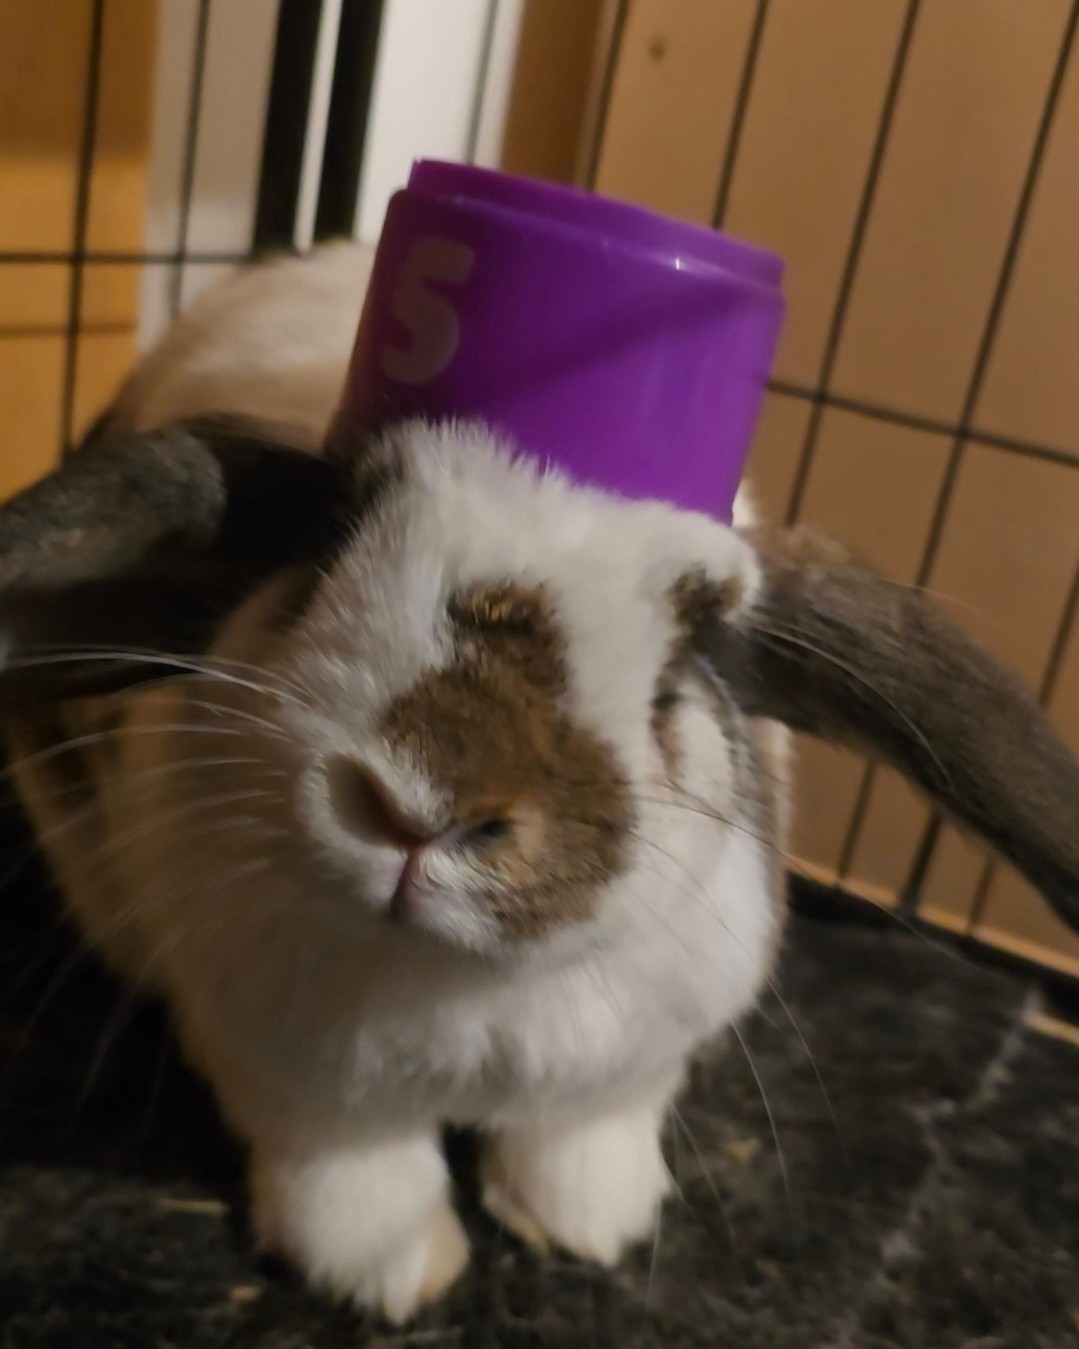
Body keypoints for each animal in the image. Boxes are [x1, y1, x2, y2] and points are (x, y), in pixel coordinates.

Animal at [1, 243, 1076, 1325]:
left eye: (680, 666)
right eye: (325, 550)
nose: (422, 806)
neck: (461, 980)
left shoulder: (636, 1058)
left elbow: (582, 1133)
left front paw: (589, 1224)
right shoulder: (287, 1072)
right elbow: (350, 1174)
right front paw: (391, 1279)